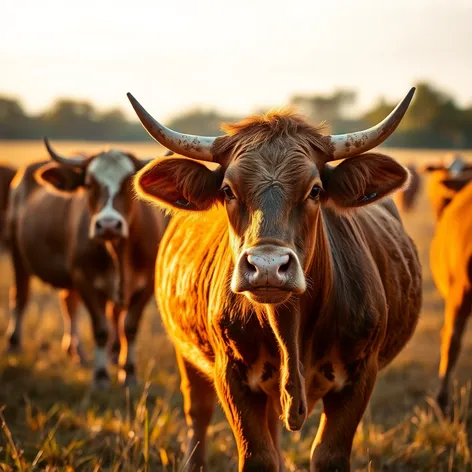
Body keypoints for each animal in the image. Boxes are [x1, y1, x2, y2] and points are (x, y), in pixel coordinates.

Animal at [5, 141, 170, 388]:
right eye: (90, 185)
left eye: (129, 184)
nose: (108, 224)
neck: (119, 251)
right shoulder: (85, 279)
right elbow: (101, 328)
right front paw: (101, 375)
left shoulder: (147, 283)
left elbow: (129, 326)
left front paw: (128, 372)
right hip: (18, 254)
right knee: (20, 297)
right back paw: (14, 344)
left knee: (71, 305)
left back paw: (81, 353)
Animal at [128, 86, 420, 470]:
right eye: (227, 190)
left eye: (315, 190)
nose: (267, 266)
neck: (290, 328)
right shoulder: (231, 375)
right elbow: (258, 456)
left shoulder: (360, 375)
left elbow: (328, 454)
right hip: (186, 354)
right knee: (198, 413)